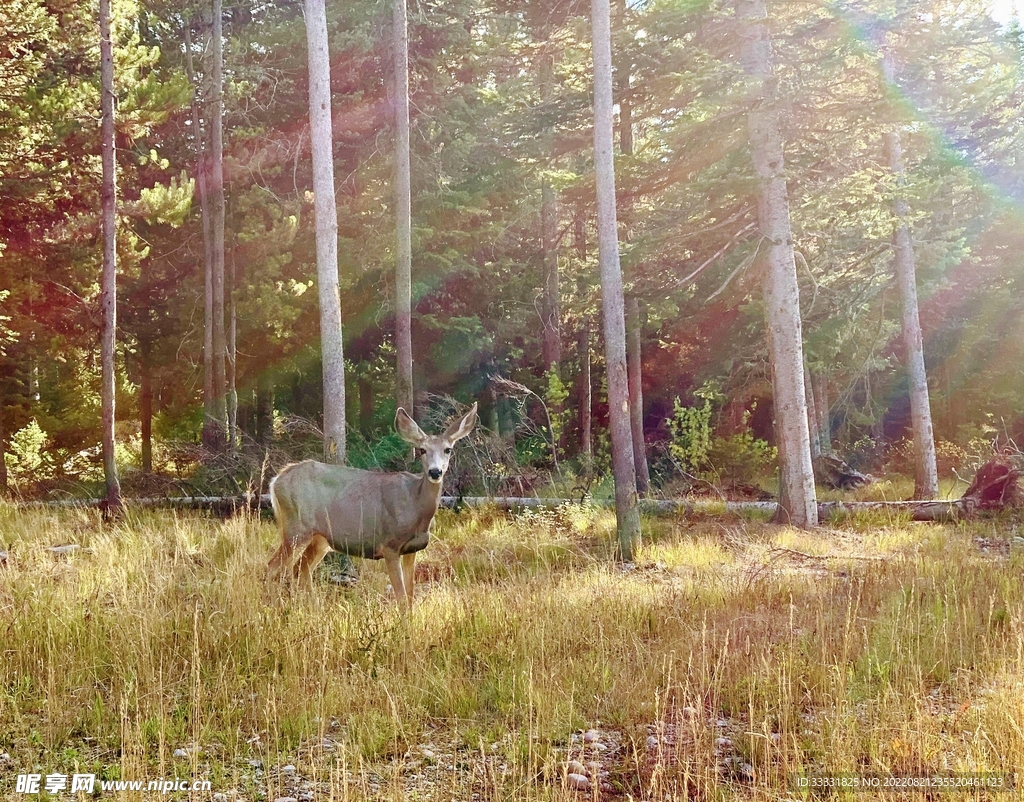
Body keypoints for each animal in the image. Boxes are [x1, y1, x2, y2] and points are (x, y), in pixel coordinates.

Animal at [266, 403, 477, 608]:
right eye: (422, 450)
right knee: (273, 567)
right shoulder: (389, 544)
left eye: (448, 449)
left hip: (319, 538)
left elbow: (410, 597)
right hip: (296, 528)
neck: (416, 506)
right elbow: (401, 599)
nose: (435, 472)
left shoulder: (412, 549)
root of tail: (276, 480)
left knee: (301, 569)